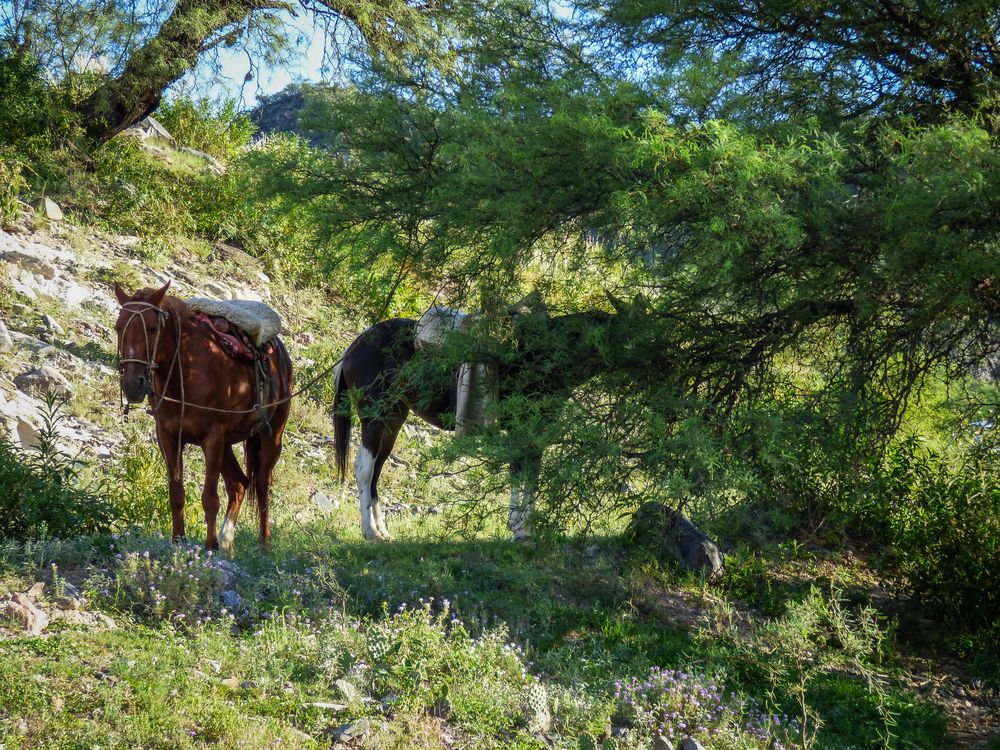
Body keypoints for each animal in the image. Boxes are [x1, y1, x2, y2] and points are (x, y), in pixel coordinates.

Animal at [114, 280, 292, 556]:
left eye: (153, 328)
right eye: (118, 328)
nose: (133, 384)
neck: (185, 373)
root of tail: (279, 352)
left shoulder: (213, 437)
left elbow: (209, 498)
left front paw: (209, 546)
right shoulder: (168, 438)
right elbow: (176, 494)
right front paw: (178, 540)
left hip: (272, 435)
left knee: (262, 484)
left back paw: (264, 543)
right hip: (229, 444)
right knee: (239, 483)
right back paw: (227, 541)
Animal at [332, 308, 624, 544]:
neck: (539, 355)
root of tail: (354, 346)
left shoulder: (535, 431)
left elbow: (529, 472)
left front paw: (524, 527)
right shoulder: (522, 429)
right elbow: (521, 471)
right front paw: (521, 529)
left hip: (393, 420)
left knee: (376, 471)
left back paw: (382, 531)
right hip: (374, 419)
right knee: (364, 468)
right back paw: (369, 532)